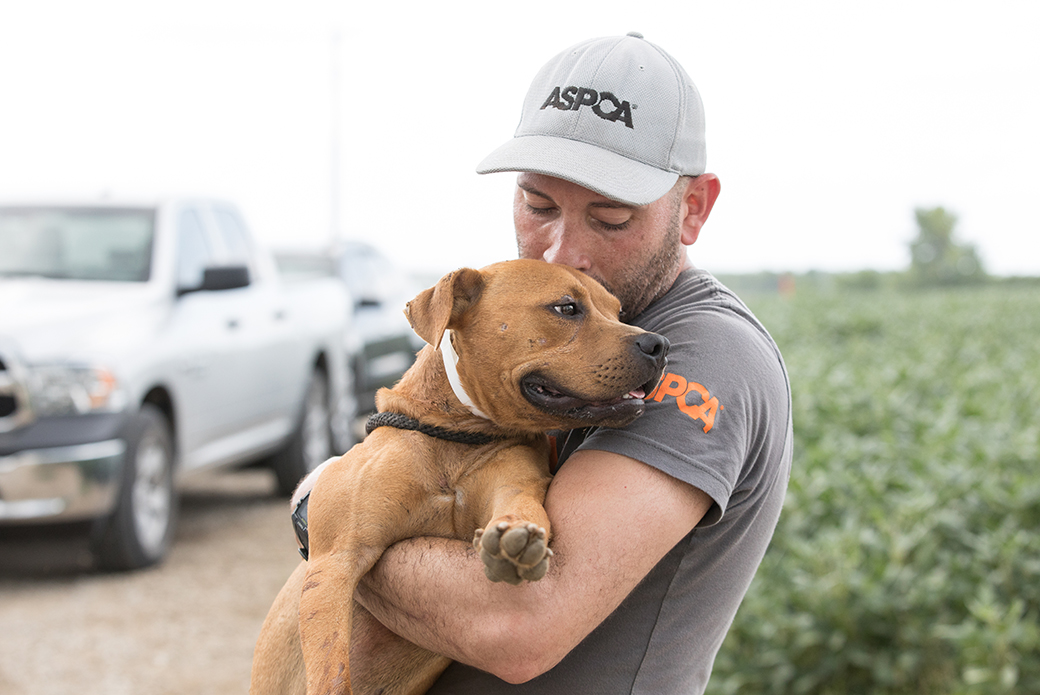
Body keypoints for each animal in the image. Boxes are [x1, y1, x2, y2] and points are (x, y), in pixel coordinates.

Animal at [254, 259, 669, 695]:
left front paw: (516, 535)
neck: (457, 436)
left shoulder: (513, 484)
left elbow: (522, 504)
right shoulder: (336, 560)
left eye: (620, 313)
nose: (659, 345)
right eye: (567, 308)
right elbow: (331, 668)